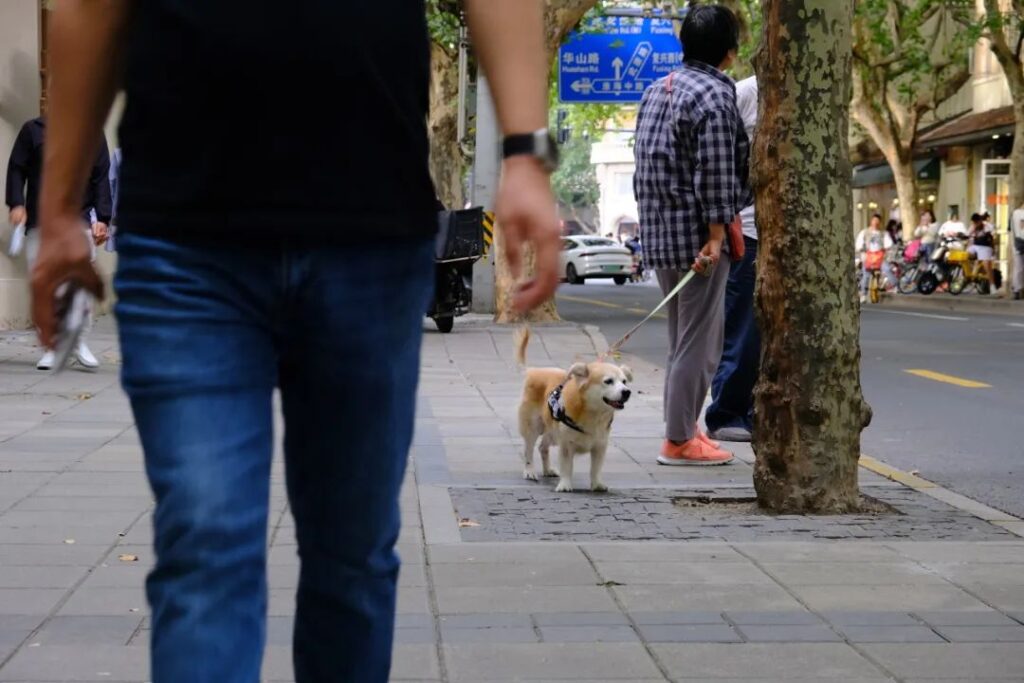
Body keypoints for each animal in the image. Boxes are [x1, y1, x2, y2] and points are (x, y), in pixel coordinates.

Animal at [516, 327, 626, 491]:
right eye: (608, 381)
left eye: (624, 381)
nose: (627, 392)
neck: (593, 413)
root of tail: (534, 371)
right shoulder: (566, 445)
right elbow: (567, 467)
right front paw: (565, 485)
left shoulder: (600, 446)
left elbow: (596, 468)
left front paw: (597, 484)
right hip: (533, 426)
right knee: (528, 449)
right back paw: (529, 471)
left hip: (552, 431)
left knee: (542, 447)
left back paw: (547, 470)